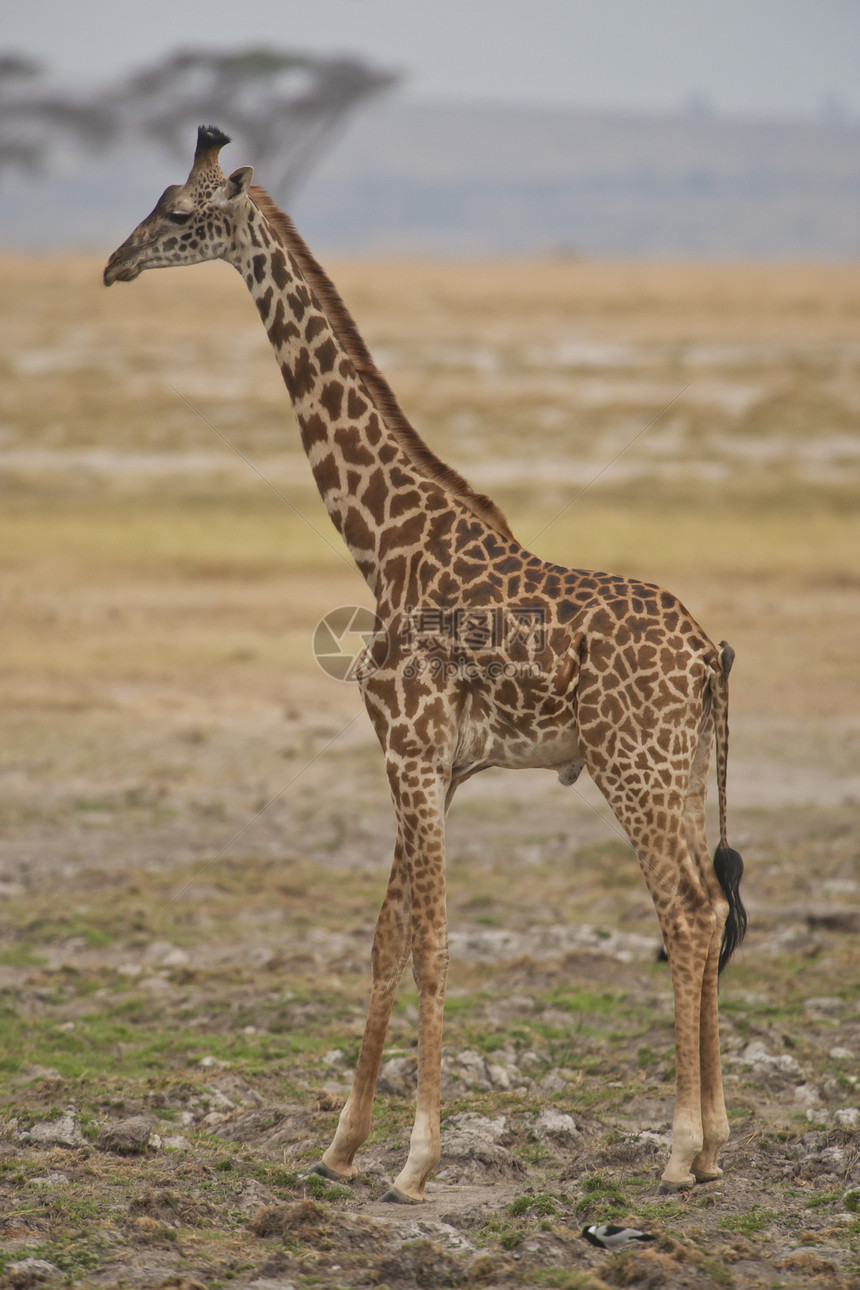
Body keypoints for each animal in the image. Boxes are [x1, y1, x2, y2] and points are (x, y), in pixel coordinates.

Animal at [102, 128, 747, 1197]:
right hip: (685, 767)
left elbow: (434, 944)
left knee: (689, 911)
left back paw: (678, 1149)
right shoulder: (435, 765)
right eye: (155, 200)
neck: (382, 544)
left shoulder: (407, 747)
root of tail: (708, 655)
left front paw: (416, 1159)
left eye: (183, 212)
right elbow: (385, 939)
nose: (114, 263)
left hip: (632, 766)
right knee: (710, 904)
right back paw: (717, 1144)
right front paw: (339, 1146)